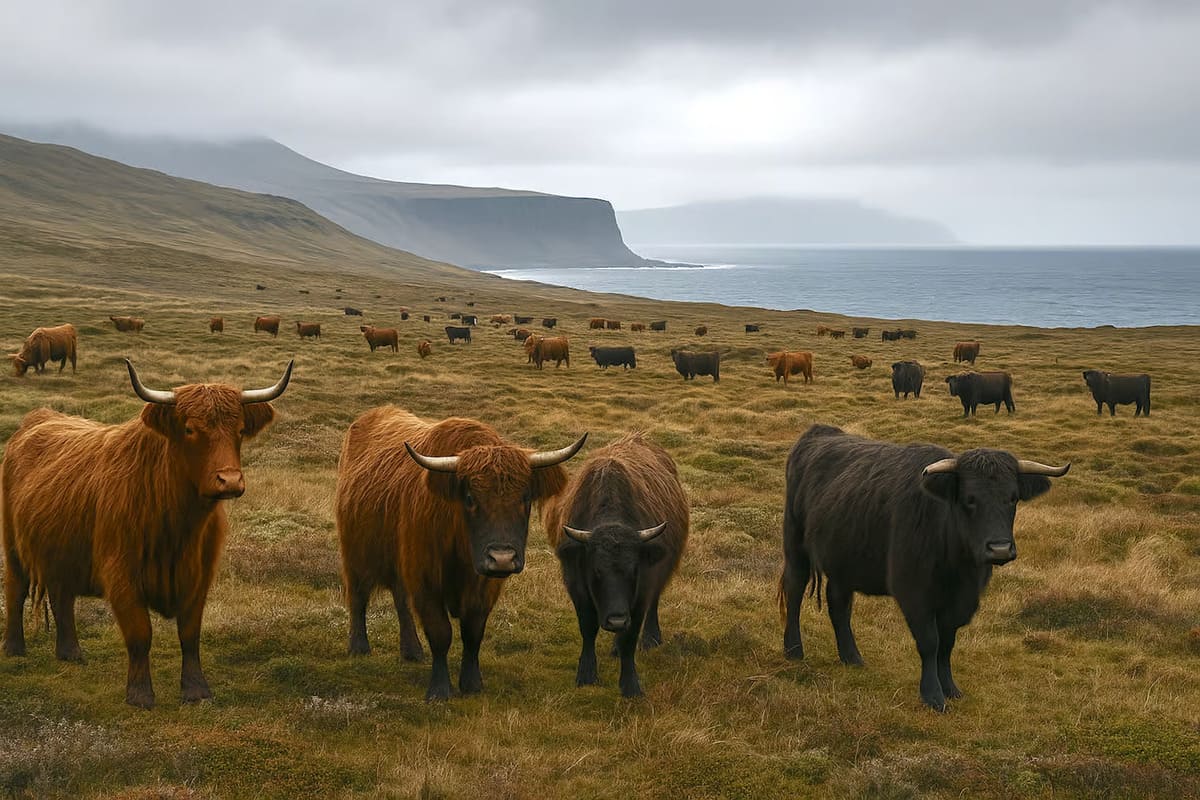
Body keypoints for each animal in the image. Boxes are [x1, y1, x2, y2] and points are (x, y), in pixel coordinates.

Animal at [2, 359, 292, 707]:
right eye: (190, 429)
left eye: (240, 431)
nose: (230, 481)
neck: (180, 525)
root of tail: (38, 418)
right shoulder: (121, 574)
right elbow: (140, 633)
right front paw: (140, 694)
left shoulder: (200, 575)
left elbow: (190, 634)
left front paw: (196, 690)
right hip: (13, 546)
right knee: (16, 590)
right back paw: (14, 648)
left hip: (63, 550)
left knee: (62, 597)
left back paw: (70, 652)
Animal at [335, 407, 585, 700]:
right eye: (470, 499)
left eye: (525, 498)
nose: (502, 559)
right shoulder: (425, 579)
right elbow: (440, 633)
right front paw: (439, 689)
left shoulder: (484, 587)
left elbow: (473, 633)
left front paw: (472, 683)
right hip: (356, 552)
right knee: (358, 596)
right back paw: (359, 647)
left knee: (400, 600)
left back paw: (412, 651)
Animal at [542, 433, 688, 697]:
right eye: (596, 570)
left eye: (633, 570)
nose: (617, 620)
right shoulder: (577, 585)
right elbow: (588, 628)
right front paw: (586, 675)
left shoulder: (642, 590)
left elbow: (631, 635)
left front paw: (631, 685)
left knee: (654, 602)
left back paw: (650, 639)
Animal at [778, 424, 1069, 711]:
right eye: (969, 498)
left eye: (1013, 498)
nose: (999, 548)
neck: (958, 567)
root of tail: (818, 432)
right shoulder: (914, 593)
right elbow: (930, 643)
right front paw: (933, 695)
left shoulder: (959, 603)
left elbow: (947, 644)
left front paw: (950, 687)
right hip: (795, 546)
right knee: (794, 590)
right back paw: (793, 650)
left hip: (844, 560)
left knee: (838, 604)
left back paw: (852, 657)